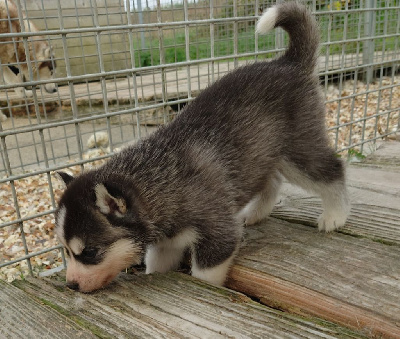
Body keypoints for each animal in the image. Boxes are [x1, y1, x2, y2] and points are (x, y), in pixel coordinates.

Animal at [54, 2, 348, 294]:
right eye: (66, 251)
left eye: (90, 251)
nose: (71, 285)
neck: (157, 180)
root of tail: (287, 62)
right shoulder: (166, 245)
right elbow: (157, 266)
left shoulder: (218, 233)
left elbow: (205, 275)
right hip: (262, 154)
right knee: (272, 180)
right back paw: (256, 213)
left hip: (299, 151)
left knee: (332, 170)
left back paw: (335, 215)